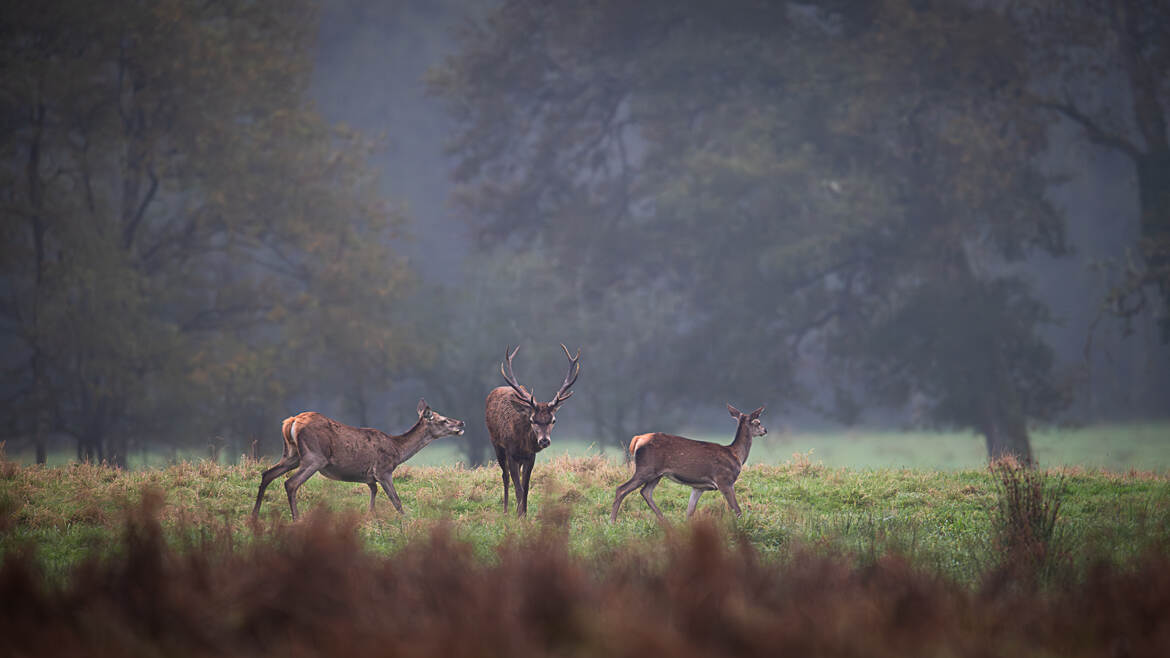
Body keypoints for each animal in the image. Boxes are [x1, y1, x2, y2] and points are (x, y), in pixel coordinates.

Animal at [253, 398, 463, 519]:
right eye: (443, 420)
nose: (461, 422)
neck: (397, 451)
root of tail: (292, 422)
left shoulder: (369, 476)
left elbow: (374, 491)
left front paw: (370, 516)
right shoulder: (383, 470)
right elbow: (396, 500)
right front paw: (408, 522)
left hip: (291, 454)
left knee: (267, 474)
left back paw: (254, 516)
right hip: (315, 456)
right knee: (290, 483)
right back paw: (297, 518)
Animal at [484, 339, 580, 515]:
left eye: (553, 420)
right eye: (532, 420)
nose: (544, 441)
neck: (522, 442)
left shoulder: (530, 456)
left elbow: (526, 487)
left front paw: (524, 513)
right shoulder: (510, 452)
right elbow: (518, 487)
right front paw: (519, 515)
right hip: (496, 444)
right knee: (504, 476)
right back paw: (506, 510)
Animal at [613, 402, 767, 519]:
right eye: (757, 422)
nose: (765, 430)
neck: (736, 455)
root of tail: (637, 439)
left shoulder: (699, 487)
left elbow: (690, 512)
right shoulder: (724, 480)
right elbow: (737, 509)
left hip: (657, 474)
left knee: (645, 492)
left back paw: (664, 521)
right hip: (646, 468)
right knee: (621, 489)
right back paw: (613, 522)